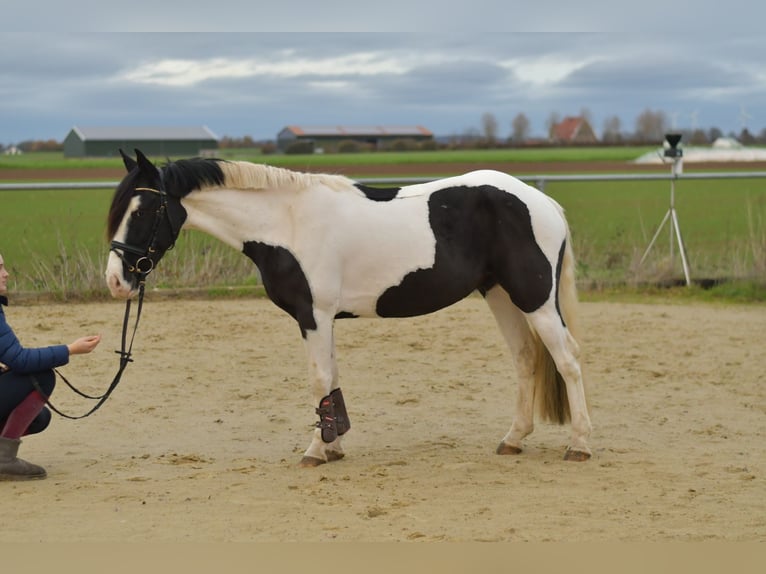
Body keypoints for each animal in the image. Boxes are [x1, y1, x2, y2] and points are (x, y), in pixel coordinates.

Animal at [105, 149, 592, 466]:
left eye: (142, 210)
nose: (116, 280)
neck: (287, 222)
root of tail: (542, 201)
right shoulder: (323, 320)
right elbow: (332, 380)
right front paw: (333, 445)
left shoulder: (313, 316)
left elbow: (319, 379)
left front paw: (315, 452)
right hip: (500, 295)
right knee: (527, 359)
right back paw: (513, 440)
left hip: (533, 298)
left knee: (567, 360)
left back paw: (580, 444)